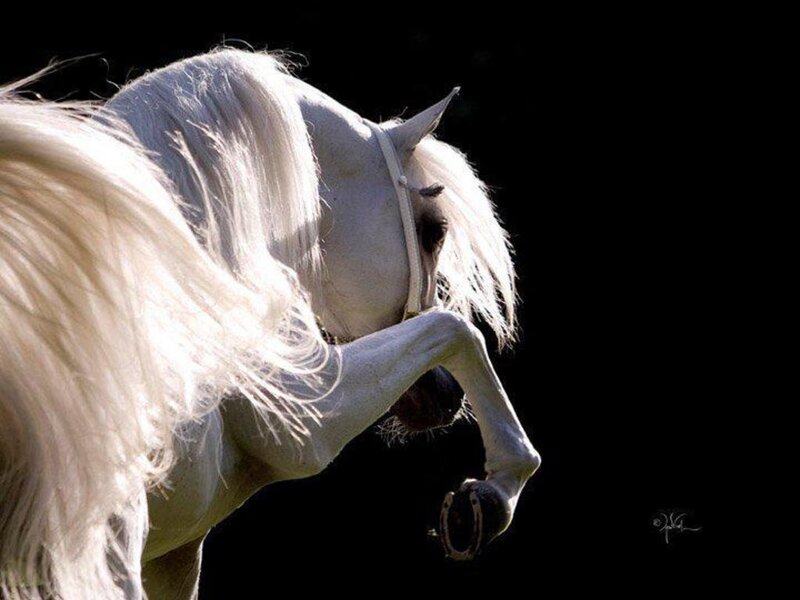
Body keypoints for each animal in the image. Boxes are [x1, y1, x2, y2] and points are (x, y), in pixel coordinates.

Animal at [0, 48, 540, 600]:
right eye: (434, 230)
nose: (445, 394)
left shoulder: (175, 556)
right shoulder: (307, 420)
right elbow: (456, 331)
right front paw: (493, 494)